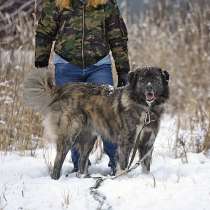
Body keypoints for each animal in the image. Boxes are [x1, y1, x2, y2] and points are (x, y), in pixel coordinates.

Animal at [23, 67, 170, 179]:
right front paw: (123, 180)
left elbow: (146, 166)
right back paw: (56, 179)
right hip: (69, 136)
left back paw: (82, 177)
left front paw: (146, 178)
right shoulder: (126, 142)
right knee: (58, 160)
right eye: (142, 80)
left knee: (82, 160)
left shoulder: (147, 143)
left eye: (155, 79)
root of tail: (61, 90)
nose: (149, 89)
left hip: (89, 138)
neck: (145, 108)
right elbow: (123, 165)